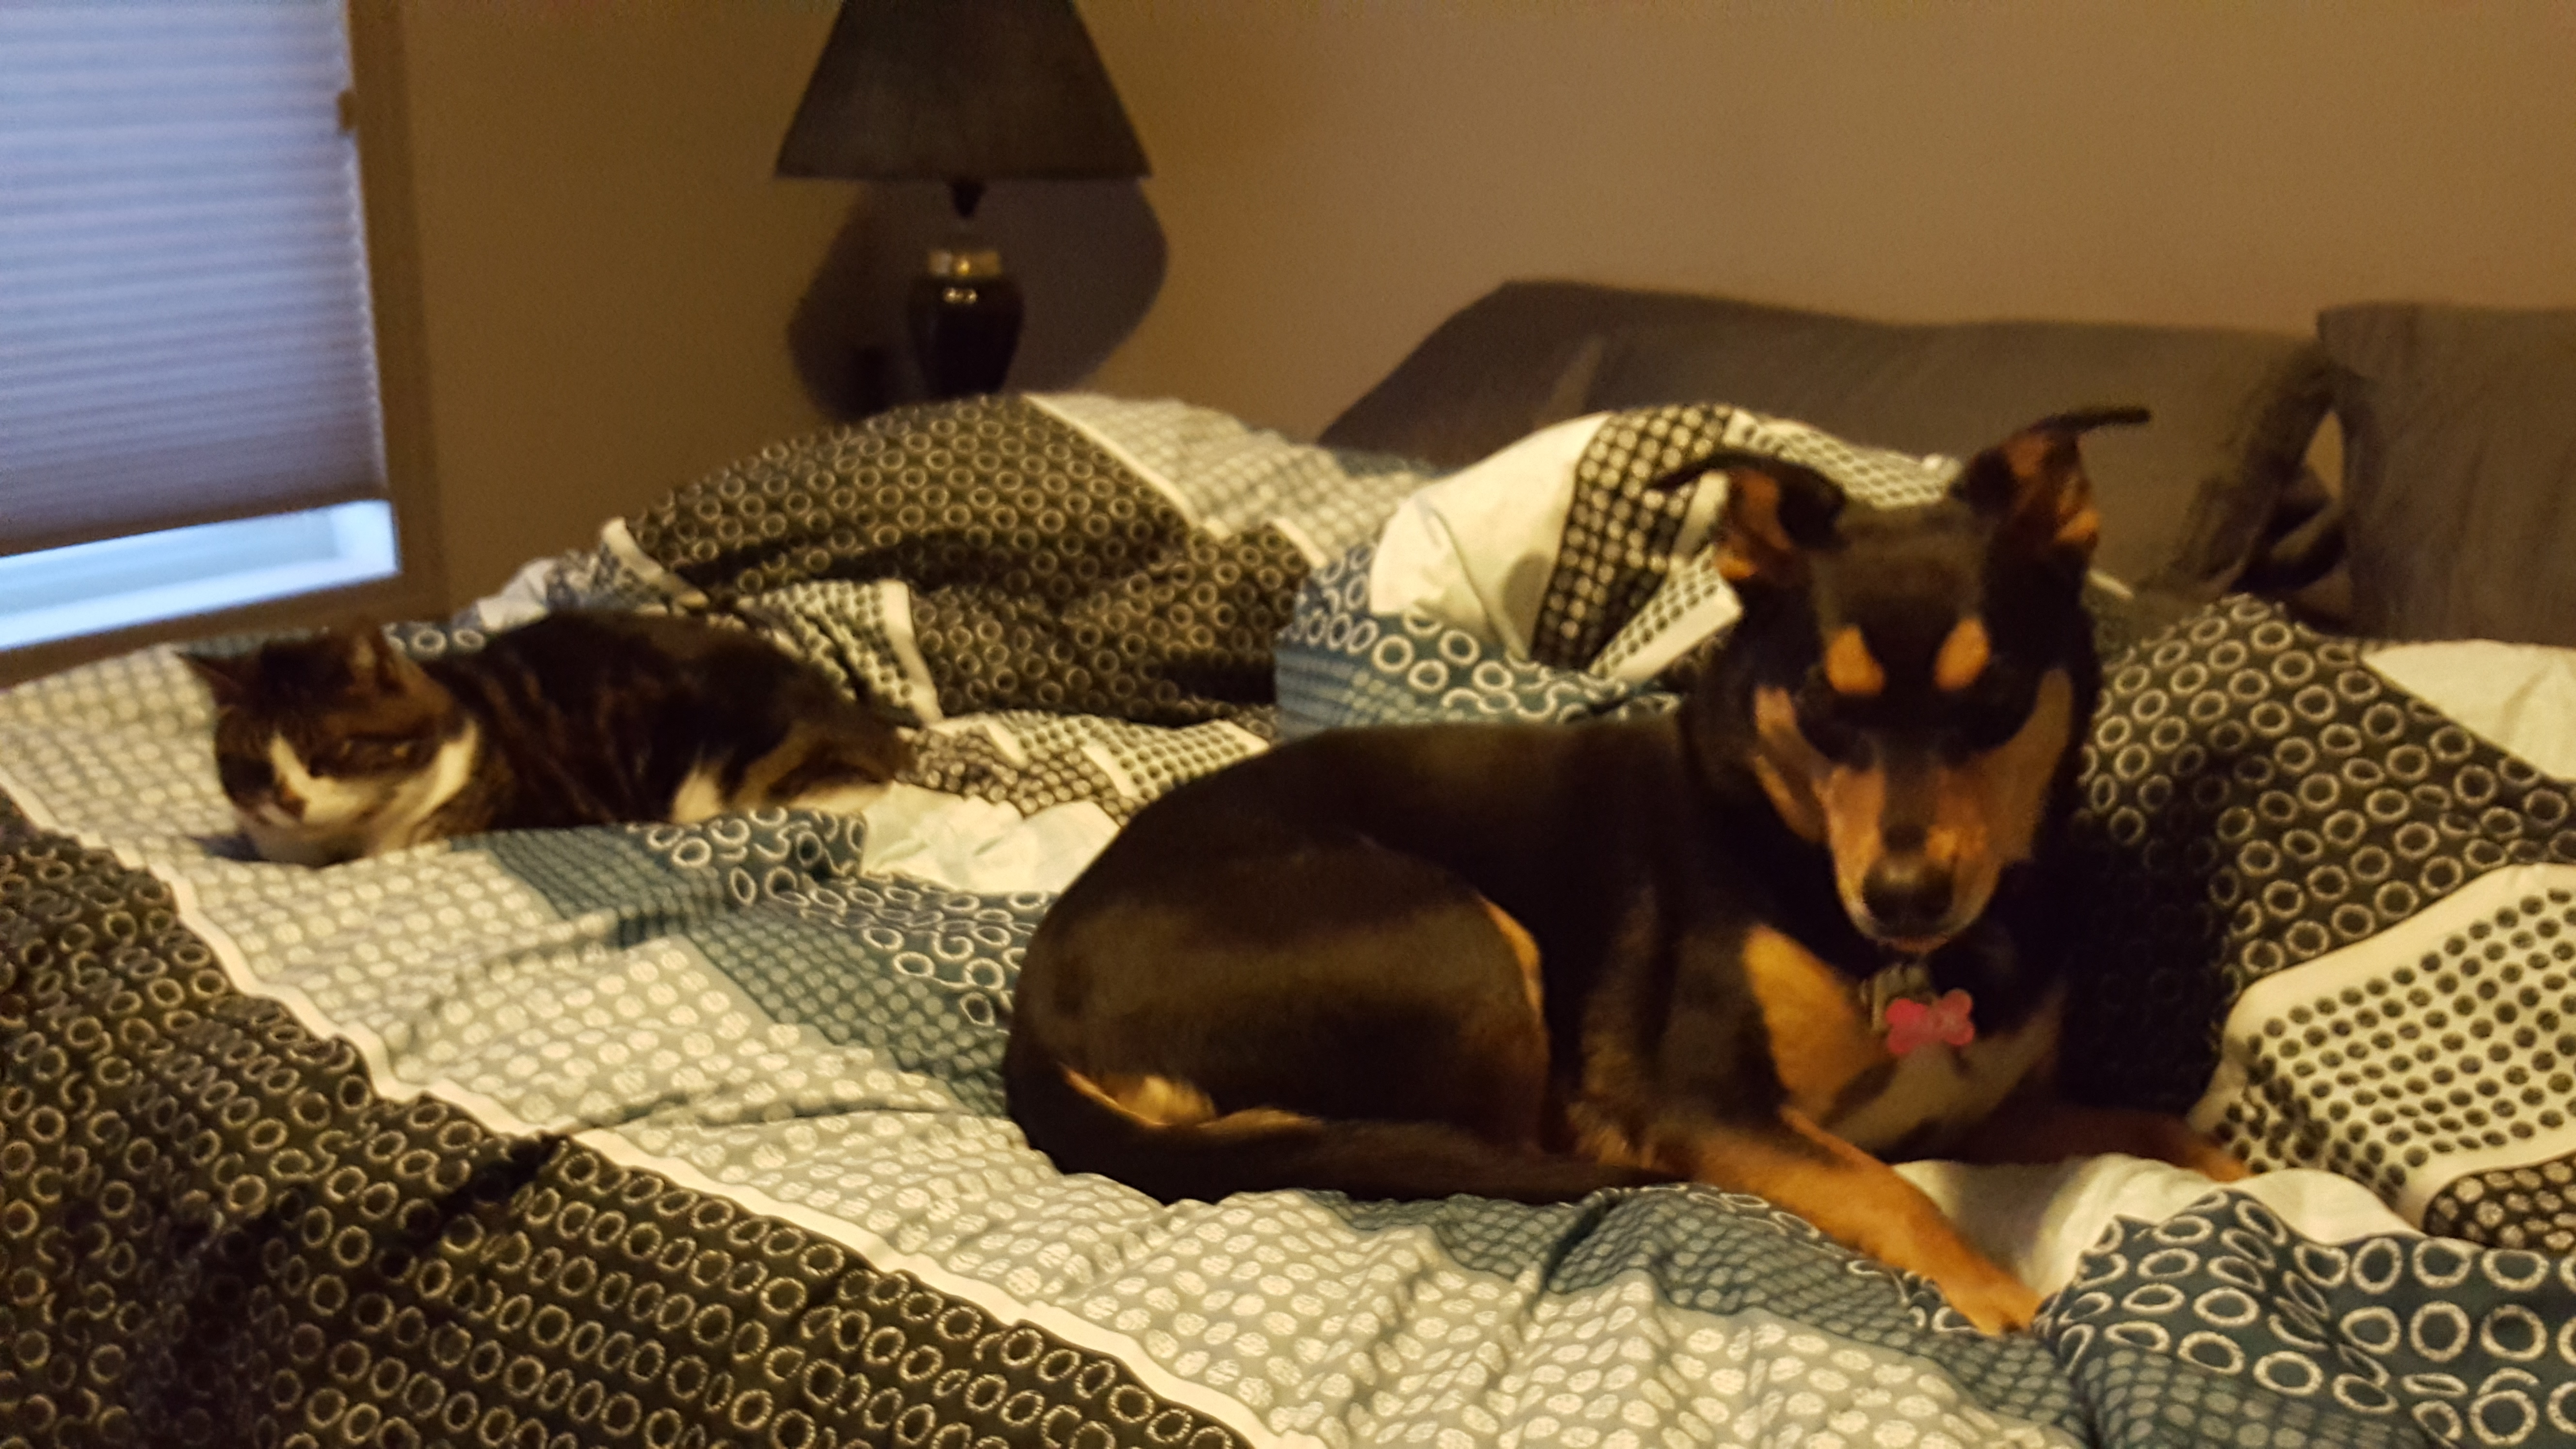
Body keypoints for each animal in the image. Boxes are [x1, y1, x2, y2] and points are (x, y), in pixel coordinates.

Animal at [1003, 407, 2246, 1333]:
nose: (1900, 901)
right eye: (1822, 706)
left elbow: (2153, 1125)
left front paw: (2243, 1177)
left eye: (1993, 701)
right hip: (1460, 939)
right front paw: (1995, 1290)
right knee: (1477, 1144)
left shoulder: (1983, 1113)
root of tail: (1035, 1013)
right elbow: (1878, 1184)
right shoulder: (1705, 1099)